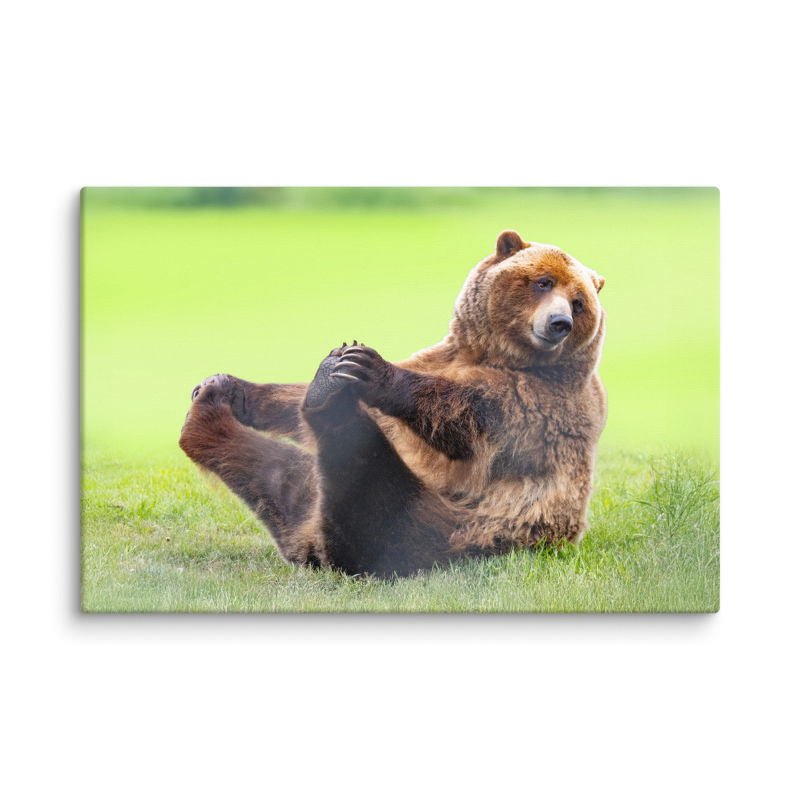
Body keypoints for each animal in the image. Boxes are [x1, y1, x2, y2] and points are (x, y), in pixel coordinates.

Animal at [179, 229, 607, 578]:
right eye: (543, 282)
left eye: (579, 302)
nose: (559, 323)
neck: (493, 355)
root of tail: (312, 546)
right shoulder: (443, 356)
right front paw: (234, 387)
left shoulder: (540, 403)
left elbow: (465, 420)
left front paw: (368, 367)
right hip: (312, 497)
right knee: (279, 474)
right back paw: (212, 408)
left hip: (441, 527)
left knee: (364, 479)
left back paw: (326, 400)